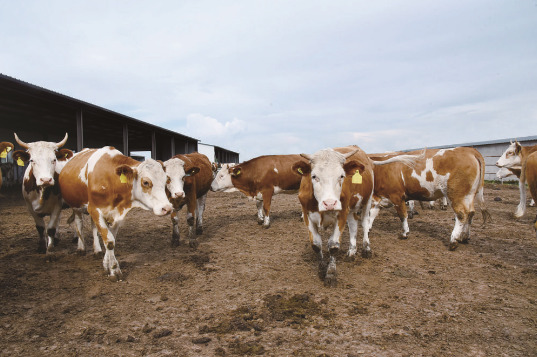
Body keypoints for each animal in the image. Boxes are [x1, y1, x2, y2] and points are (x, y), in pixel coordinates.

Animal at [58, 146, 172, 280]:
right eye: (145, 182)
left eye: (165, 181)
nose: (167, 208)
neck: (110, 180)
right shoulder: (95, 209)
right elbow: (109, 241)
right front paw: (114, 270)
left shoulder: (117, 215)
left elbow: (111, 239)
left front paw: (106, 264)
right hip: (76, 206)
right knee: (79, 224)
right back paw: (81, 248)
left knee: (93, 227)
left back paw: (97, 250)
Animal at [288, 146, 418, 286]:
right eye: (314, 176)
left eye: (341, 176)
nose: (330, 203)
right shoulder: (307, 216)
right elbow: (316, 245)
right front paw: (322, 269)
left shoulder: (341, 214)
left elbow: (333, 245)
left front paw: (331, 274)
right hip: (352, 208)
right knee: (353, 226)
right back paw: (351, 251)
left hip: (367, 200)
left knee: (365, 224)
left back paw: (366, 249)